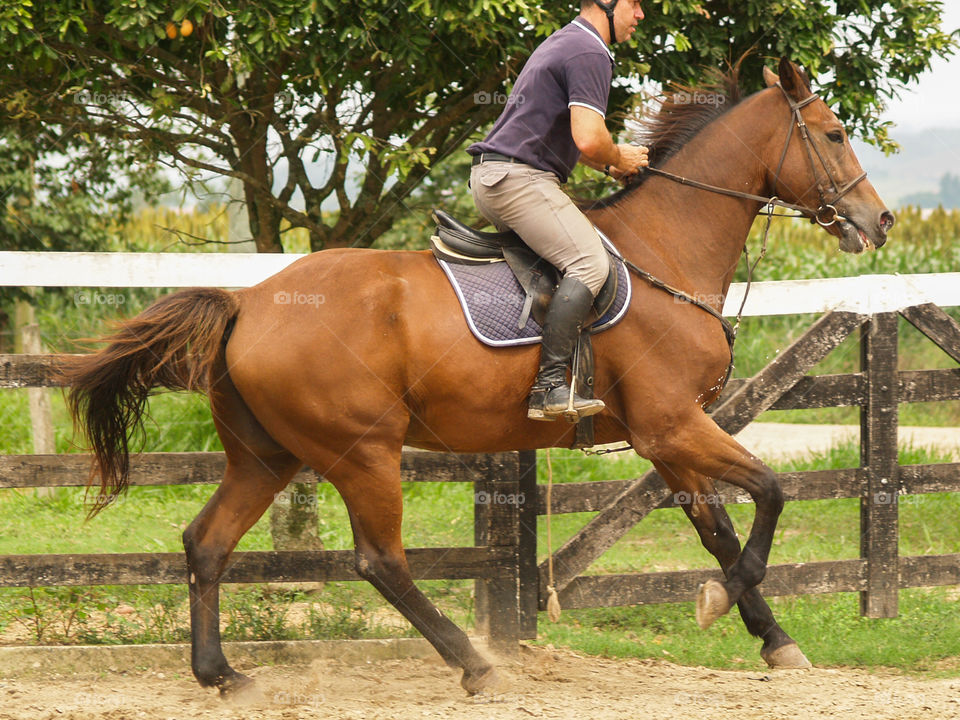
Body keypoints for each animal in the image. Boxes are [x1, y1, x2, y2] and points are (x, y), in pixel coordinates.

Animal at [66, 58, 894, 696]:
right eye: (833, 134)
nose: (880, 222)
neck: (667, 247)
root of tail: (249, 302)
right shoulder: (673, 425)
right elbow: (771, 492)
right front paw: (726, 600)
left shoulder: (665, 438)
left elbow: (717, 527)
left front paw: (771, 637)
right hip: (361, 453)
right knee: (380, 561)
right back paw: (473, 664)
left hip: (265, 456)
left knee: (206, 544)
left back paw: (221, 674)